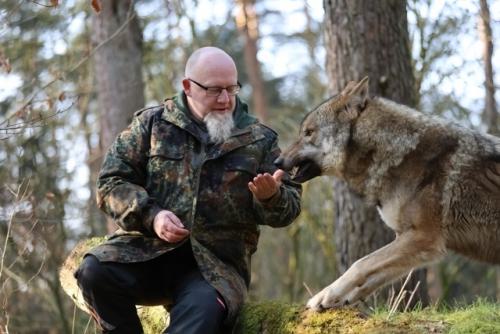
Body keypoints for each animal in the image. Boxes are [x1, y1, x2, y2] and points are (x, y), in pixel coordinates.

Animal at [276, 77, 500, 312]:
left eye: (308, 132)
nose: (276, 161)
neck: (398, 154)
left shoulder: (423, 238)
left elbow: (359, 264)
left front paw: (324, 295)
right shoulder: (407, 239)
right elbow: (372, 276)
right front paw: (340, 299)